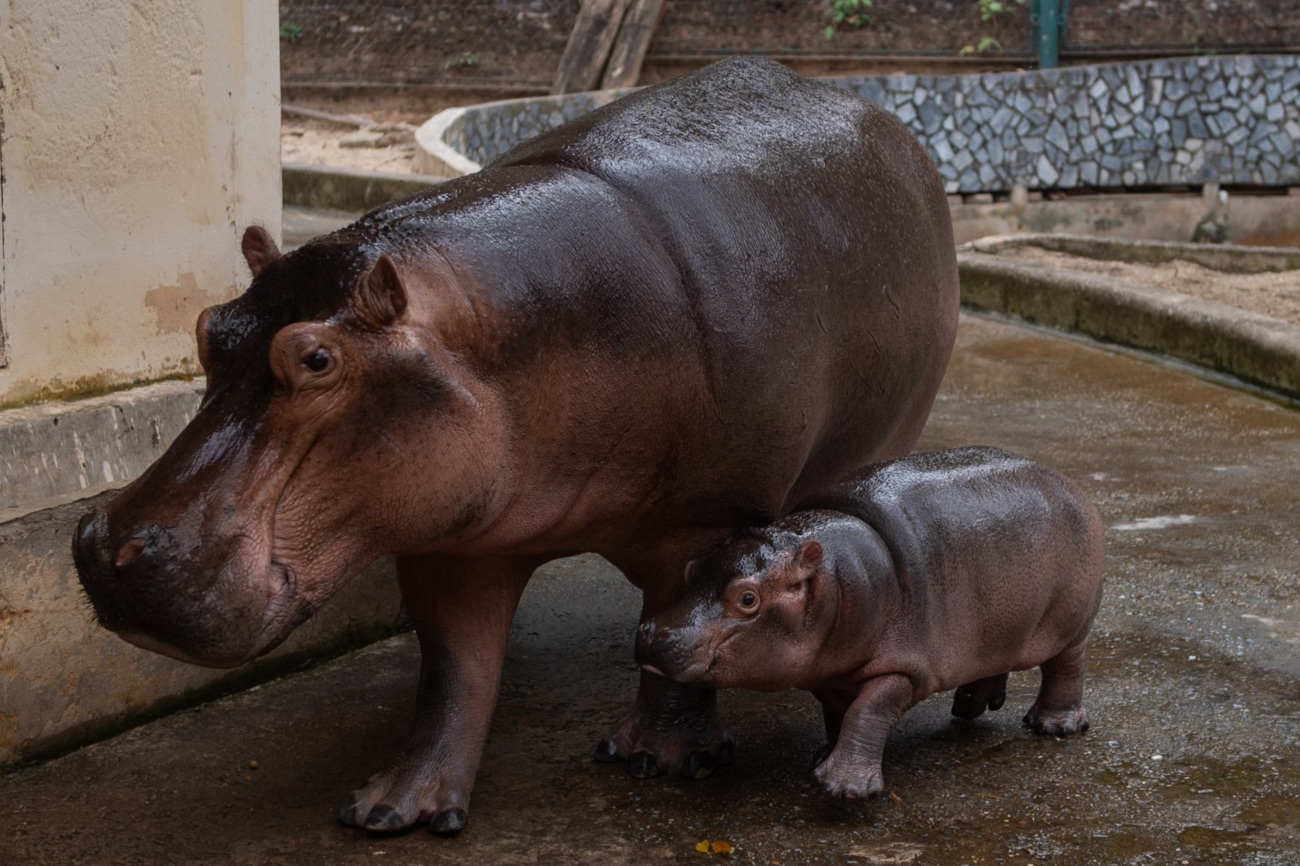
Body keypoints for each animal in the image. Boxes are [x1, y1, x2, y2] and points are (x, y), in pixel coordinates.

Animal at [73, 57, 967, 832]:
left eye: (317, 359)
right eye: (207, 326)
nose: (111, 551)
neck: (494, 337)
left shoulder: (707, 519)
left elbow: (677, 632)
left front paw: (659, 760)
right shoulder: (449, 537)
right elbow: (455, 669)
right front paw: (396, 808)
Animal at [634, 444, 1102, 795]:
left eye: (748, 598)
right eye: (692, 570)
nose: (655, 634)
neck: (836, 576)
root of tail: (1067, 481)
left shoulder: (906, 668)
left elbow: (867, 711)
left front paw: (845, 787)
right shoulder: (830, 670)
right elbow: (839, 712)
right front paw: (824, 758)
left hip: (1072, 620)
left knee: (1066, 666)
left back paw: (1053, 726)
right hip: (995, 625)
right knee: (992, 660)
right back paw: (970, 707)